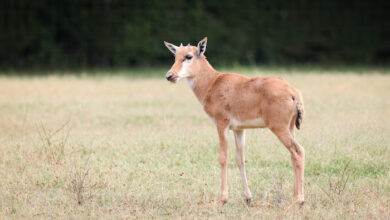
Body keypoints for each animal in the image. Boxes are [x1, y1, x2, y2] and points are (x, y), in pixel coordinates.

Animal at [164, 38, 304, 206]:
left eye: (188, 56)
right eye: (175, 56)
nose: (169, 75)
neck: (213, 82)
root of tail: (293, 93)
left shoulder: (222, 124)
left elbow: (223, 157)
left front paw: (223, 199)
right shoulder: (239, 129)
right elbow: (240, 159)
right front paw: (248, 198)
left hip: (279, 128)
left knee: (298, 151)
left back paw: (299, 200)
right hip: (290, 127)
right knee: (292, 154)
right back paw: (295, 196)